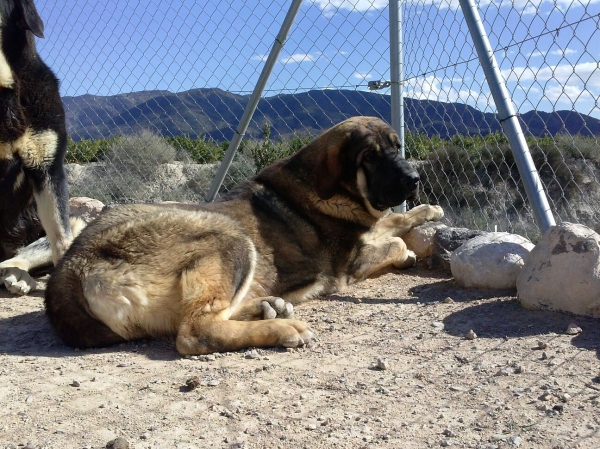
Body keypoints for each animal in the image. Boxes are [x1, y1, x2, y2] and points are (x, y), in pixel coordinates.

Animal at [44, 115, 442, 354]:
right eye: (370, 157)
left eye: (397, 147)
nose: (414, 179)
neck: (329, 187)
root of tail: (70, 269)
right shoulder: (352, 263)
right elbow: (392, 239)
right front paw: (407, 249)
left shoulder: (369, 226)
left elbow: (392, 221)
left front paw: (428, 210)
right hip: (231, 238)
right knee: (195, 332)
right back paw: (283, 328)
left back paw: (268, 308)